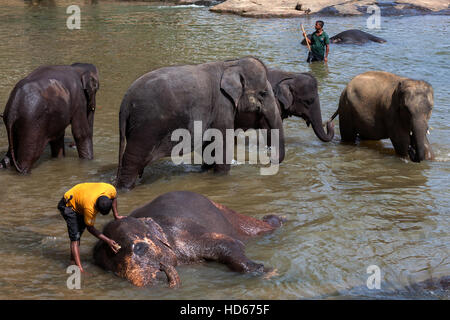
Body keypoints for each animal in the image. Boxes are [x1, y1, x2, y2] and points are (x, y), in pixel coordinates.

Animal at [92, 190, 284, 288]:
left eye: (140, 248)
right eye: (113, 271)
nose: (161, 269)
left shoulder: (183, 233)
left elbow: (229, 243)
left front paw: (266, 271)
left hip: (230, 216)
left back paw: (277, 219)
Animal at [115, 57, 284, 190]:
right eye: (263, 93)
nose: (268, 159)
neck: (231, 64)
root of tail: (125, 102)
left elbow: (209, 147)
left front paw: (205, 171)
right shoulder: (223, 106)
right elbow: (222, 145)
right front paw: (221, 177)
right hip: (146, 129)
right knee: (132, 161)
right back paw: (125, 189)